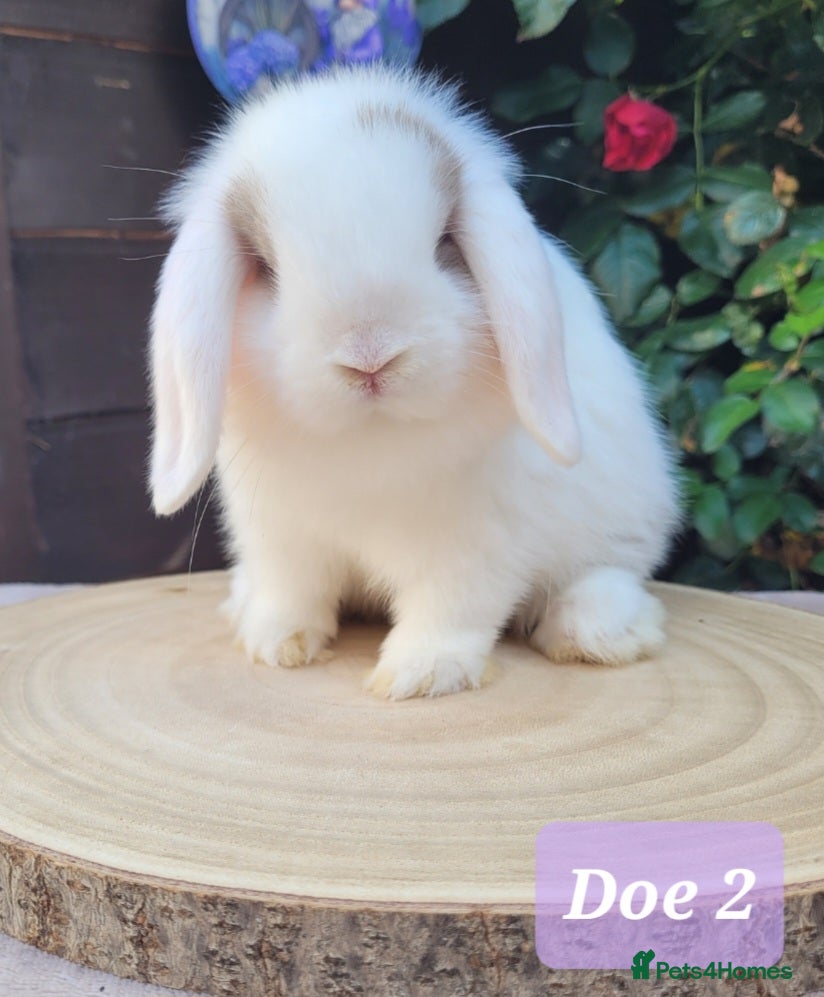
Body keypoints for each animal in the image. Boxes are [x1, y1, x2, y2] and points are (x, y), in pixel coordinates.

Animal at [148, 64, 681, 699]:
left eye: (444, 242)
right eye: (265, 267)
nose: (371, 357)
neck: (371, 440)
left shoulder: (476, 543)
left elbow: (450, 609)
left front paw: (419, 675)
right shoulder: (281, 535)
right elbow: (292, 593)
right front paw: (275, 645)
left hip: (621, 528)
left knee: (610, 576)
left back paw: (595, 632)